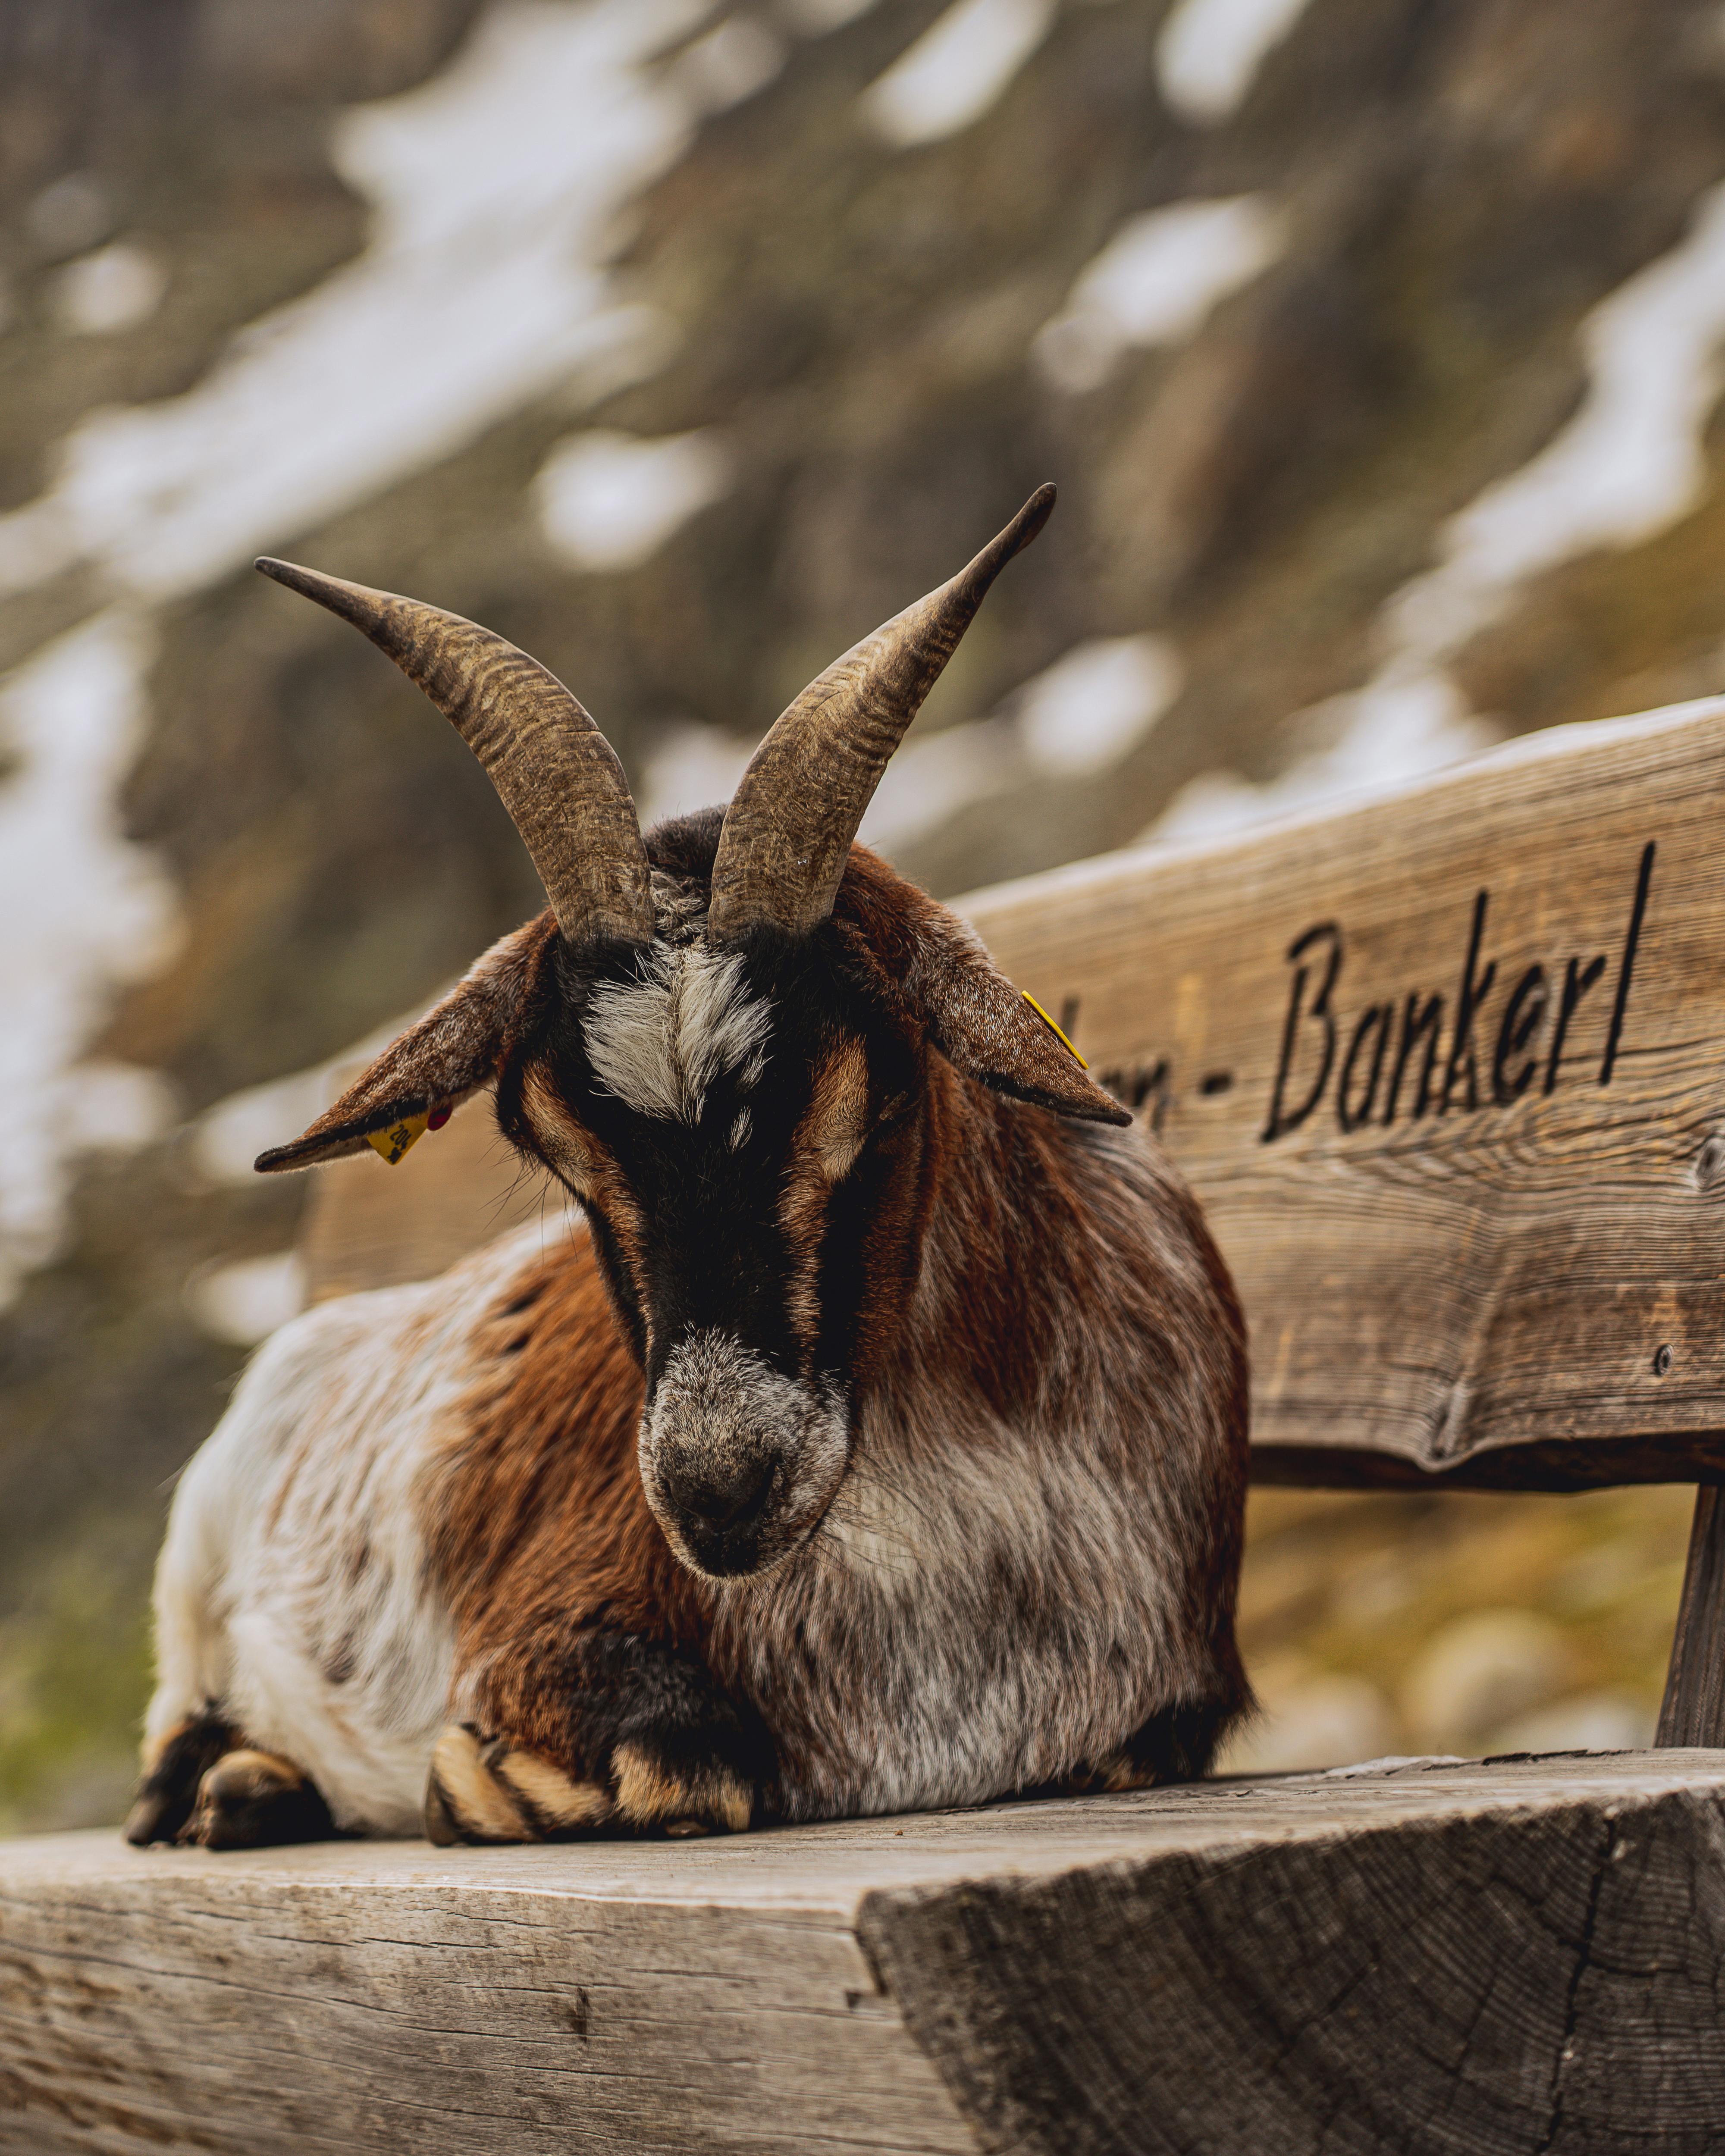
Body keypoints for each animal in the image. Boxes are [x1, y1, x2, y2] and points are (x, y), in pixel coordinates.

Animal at [126, 486, 1251, 1850]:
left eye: (876, 1093)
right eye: (552, 1146)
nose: (716, 1491)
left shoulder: (1173, 1704)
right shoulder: (540, 1635)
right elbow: (689, 1762)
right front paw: (468, 1782)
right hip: (192, 1589)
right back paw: (233, 1788)